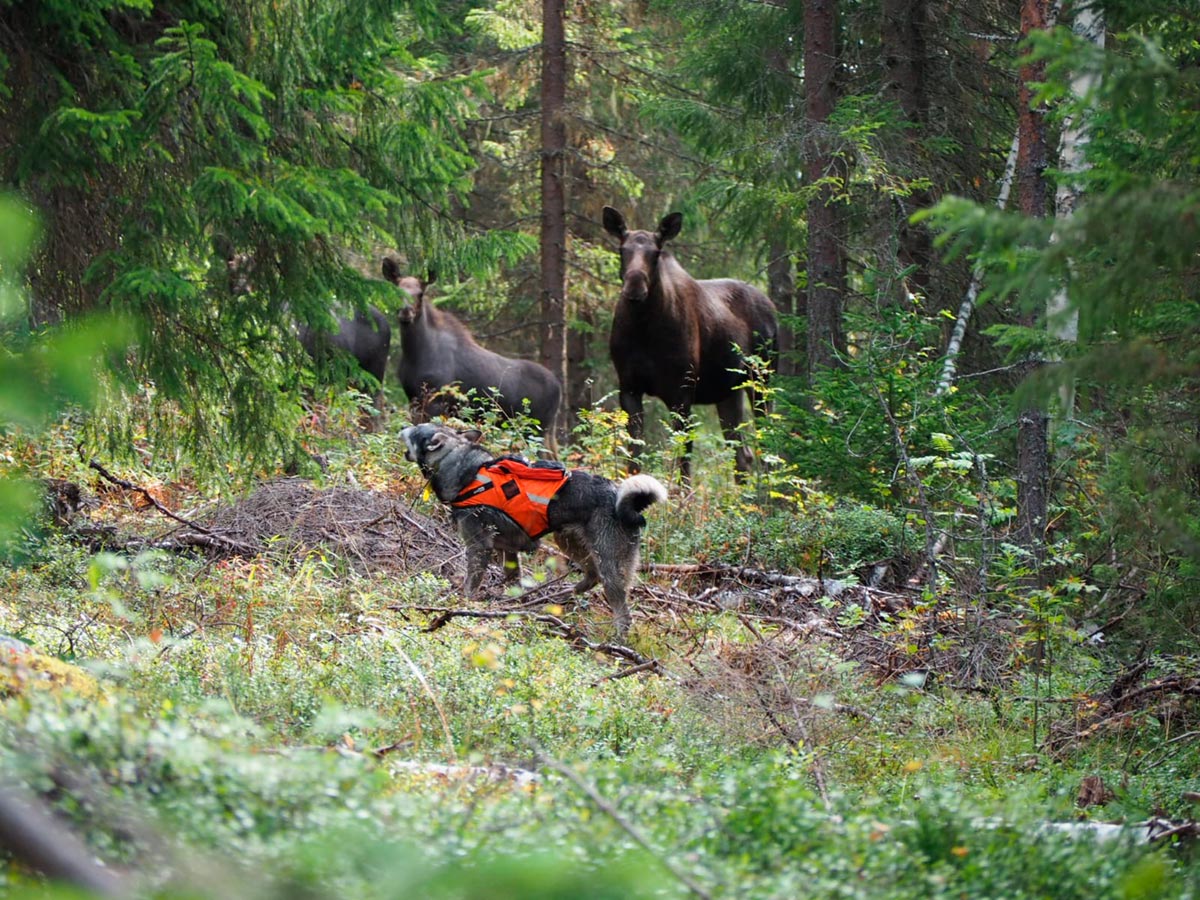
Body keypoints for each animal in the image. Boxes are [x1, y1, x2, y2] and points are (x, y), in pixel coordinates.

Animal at [381, 256, 564, 453]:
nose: (405, 311)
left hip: (536, 427)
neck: (414, 353)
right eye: (395, 289)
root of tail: (559, 387)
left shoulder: (436, 403)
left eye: (420, 293)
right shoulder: (414, 400)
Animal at [400, 427, 667, 638]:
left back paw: (616, 639)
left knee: (622, 611)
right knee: (591, 576)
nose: (402, 427)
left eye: (416, 430)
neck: (468, 473)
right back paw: (563, 595)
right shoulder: (508, 551)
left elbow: (470, 584)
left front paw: (462, 605)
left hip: (609, 564)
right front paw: (510, 604)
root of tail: (627, 501)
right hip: (568, 541)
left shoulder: (478, 547)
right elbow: (512, 581)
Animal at [604, 206, 782, 480]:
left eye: (656, 253)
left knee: (766, 447)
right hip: (729, 391)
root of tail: (773, 309)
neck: (644, 327)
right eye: (622, 249)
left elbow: (683, 460)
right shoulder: (629, 388)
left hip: (762, 379)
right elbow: (634, 457)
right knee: (743, 455)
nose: (634, 287)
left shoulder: (682, 391)